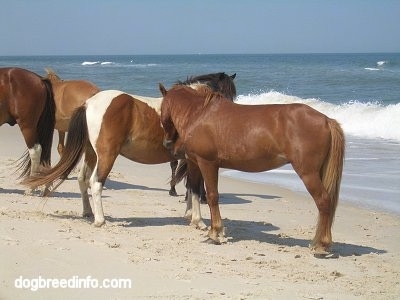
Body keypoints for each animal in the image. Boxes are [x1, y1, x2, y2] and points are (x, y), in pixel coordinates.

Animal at [24, 73, 238, 227]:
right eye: (227, 93)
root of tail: (88, 104)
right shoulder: (195, 160)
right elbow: (194, 187)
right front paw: (198, 221)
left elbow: (190, 186)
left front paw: (189, 215)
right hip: (107, 155)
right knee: (95, 182)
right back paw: (100, 220)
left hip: (91, 153)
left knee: (83, 179)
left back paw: (88, 212)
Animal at [159, 84, 344, 253]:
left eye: (161, 109)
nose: (167, 144)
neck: (199, 114)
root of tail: (327, 120)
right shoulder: (196, 163)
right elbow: (196, 190)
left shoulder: (207, 163)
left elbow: (212, 196)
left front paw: (215, 233)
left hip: (308, 173)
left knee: (323, 201)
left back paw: (321, 246)